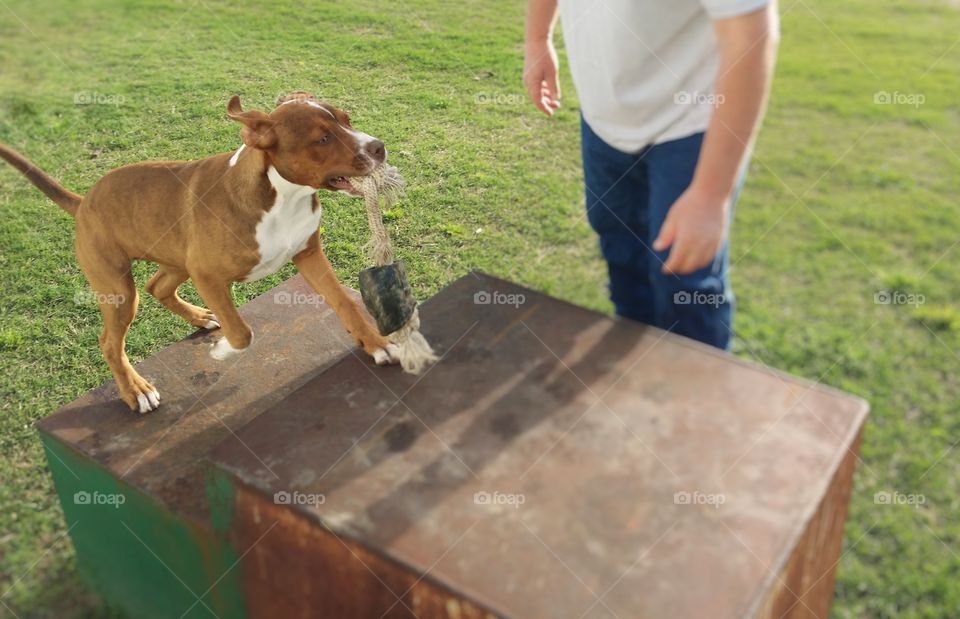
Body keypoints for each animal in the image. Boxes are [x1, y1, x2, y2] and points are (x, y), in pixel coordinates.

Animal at [1, 91, 400, 412]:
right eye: (323, 138)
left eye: (347, 120)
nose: (379, 147)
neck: (281, 196)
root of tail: (83, 202)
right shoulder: (208, 275)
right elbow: (241, 331)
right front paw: (222, 350)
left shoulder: (309, 254)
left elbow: (345, 303)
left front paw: (377, 343)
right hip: (118, 290)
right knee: (110, 342)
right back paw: (136, 391)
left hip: (176, 258)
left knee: (158, 287)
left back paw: (199, 318)